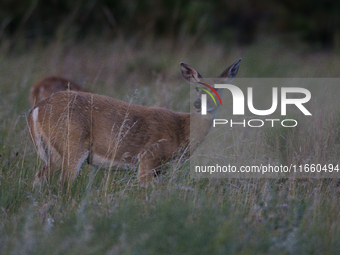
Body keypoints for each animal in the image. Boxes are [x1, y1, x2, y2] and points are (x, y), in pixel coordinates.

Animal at [26, 58, 240, 184]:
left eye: (219, 89)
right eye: (196, 88)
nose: (198, 103)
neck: (182, 130)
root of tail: (36, 110)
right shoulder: (148, 158)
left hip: (54, 151)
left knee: (38, 179)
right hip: (72, 143)